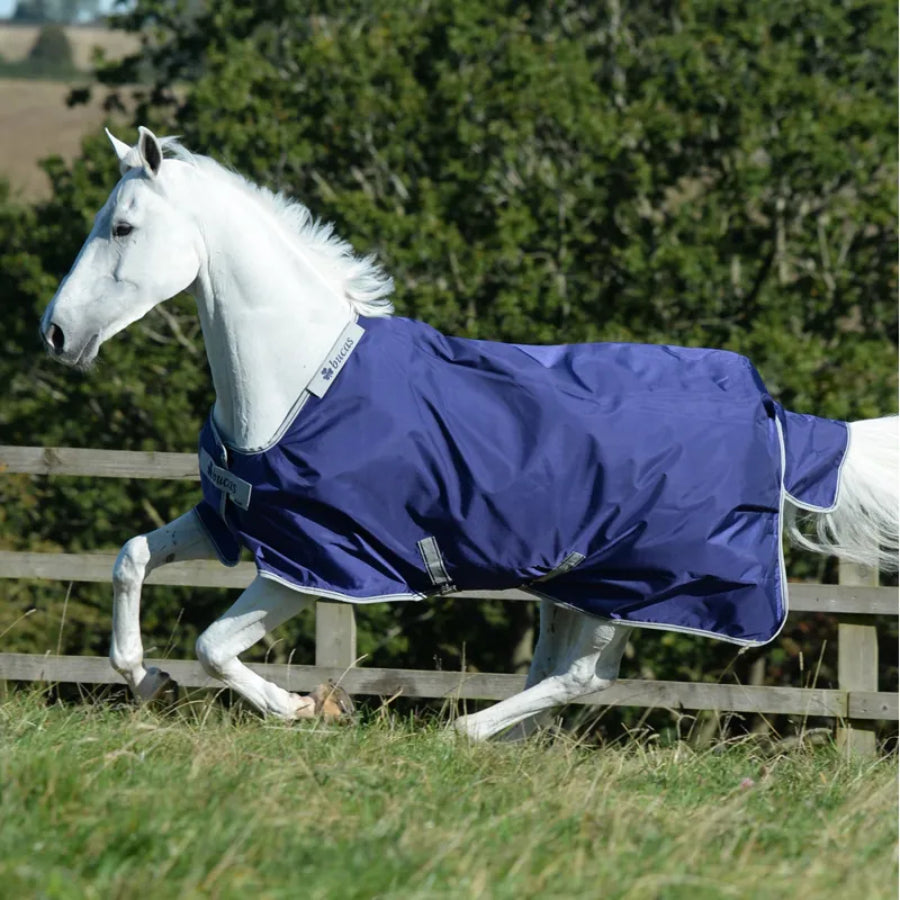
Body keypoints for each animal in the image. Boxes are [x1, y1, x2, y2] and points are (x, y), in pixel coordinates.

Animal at [40, 127, 898, 740]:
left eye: (122, 226)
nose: (54, 333)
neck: (303, 379)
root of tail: (776, 414)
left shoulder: (312, 565)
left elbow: (213, 646)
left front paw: (309, 710)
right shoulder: (237, 522)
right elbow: (130, 559)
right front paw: (146, 681)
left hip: (635, 584)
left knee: (580, 678)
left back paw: (464, 732)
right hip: (575, 582)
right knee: (562, 673)